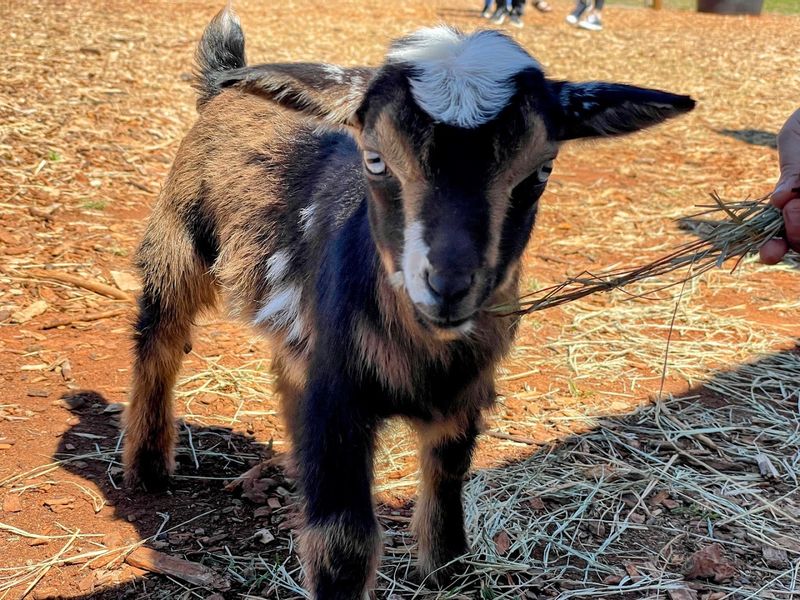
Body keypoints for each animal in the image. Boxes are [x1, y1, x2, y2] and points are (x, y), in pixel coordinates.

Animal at [123, 7, 695, 599]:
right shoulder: (340, 403)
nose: (448, 284)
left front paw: (448, 572)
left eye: (541, 171)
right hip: (178, 241)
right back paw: (148, 467)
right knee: (159, 339)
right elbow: (344, 542)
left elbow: (447, 482)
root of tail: (224, 81)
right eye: (375, 159)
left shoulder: (463, 395)